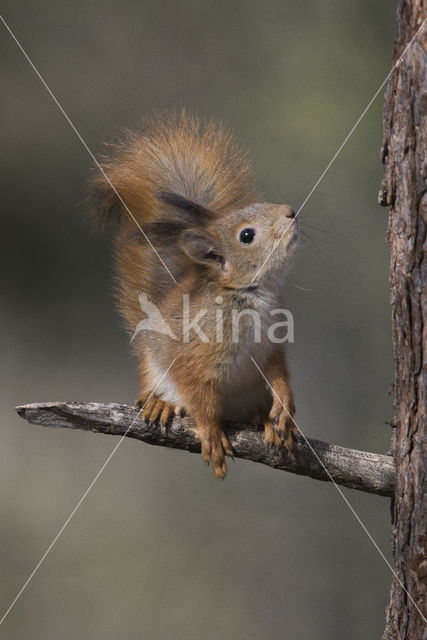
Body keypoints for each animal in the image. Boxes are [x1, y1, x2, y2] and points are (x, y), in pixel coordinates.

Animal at [90, 112, 298, 478]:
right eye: (247, 236)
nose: (290, 211)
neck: (252, 299)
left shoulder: (272, 344)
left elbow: (279, 373)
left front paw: (285, 406)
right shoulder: (193, 355)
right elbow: (199, 398)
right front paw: (211, 433)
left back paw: (267, 422)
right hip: (153, 366)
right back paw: (159, 403)